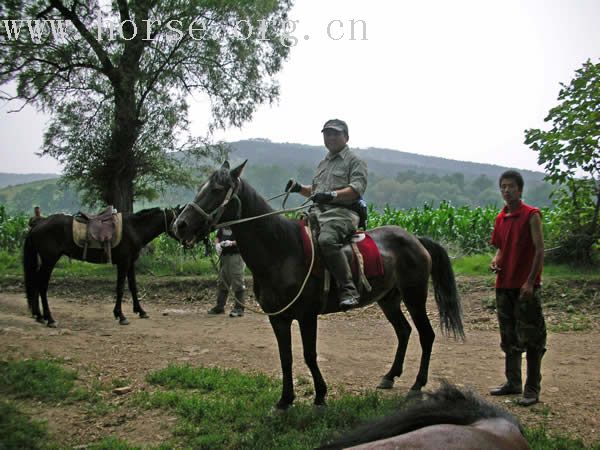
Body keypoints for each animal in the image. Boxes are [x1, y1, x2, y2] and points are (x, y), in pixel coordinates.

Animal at [22, 207, 180, 326]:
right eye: (179, 220)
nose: (187, 241)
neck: (134, 228)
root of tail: (37, 225)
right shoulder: (123, 263)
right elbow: (120, 288)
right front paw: (121, 315)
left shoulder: (130, 263)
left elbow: (133, 287)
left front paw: (140, 311)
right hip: (49, 260)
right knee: (42, 285)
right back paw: (50, 319)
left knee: (36, 283)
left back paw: (39, 316)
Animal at [173, 162, 464, 412]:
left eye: (217, 190)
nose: (180, 225)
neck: (282, 250)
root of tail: (415, 239)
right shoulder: (278, 319)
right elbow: (286, 357)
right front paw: (284, 400)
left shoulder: (307, 316)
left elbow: (309, 355)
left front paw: (320, 396)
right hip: (388, 299)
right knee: (403, 332)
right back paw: (390, 376)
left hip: (414, 296)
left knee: (426, 335)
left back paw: (417, 384)